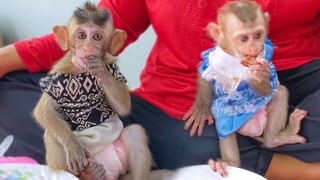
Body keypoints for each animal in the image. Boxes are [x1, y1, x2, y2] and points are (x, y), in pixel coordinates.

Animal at [33, 2, 152, 179]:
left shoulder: (113, 68)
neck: (81, 70)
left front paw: (101, 71)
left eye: (97, 37)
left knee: (135, 132)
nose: (88, 48)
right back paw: (88, 174)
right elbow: (43, 111)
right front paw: (74, 149)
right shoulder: (56, 77)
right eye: (82, 35)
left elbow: (124, 106)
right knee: (51, 136)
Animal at [186, 0, 308, 176]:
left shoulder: (265, 56)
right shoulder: (212, 56)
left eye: (257, 35)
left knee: (279, 93)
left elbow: (270, 84)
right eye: (244, 38)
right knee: (224, 117)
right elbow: (204, 73)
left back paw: (274, 139)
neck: (236, 57)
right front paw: (201, 109)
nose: (254, 47)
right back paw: (230, 162)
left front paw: (260, 76)